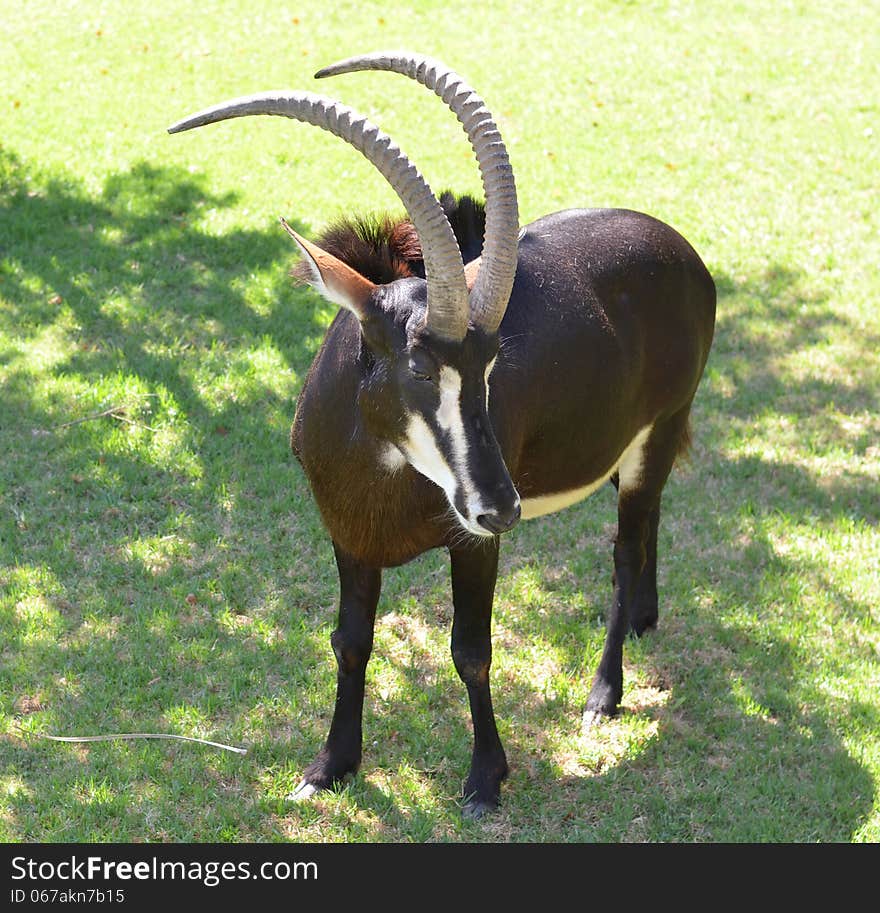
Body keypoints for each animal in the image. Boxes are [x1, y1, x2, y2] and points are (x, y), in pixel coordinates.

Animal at [170, 51, 716, 820]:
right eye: (421, 366)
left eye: (489, 364)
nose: (502, 506)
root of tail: (682, 251)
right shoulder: (349, 539)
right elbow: (350, 641)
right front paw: (330, 765)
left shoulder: (473, 544)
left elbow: (470, 651)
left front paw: (486, 777)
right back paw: (644, 618)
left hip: (656, 432)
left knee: (626, 549)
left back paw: (603, 693)